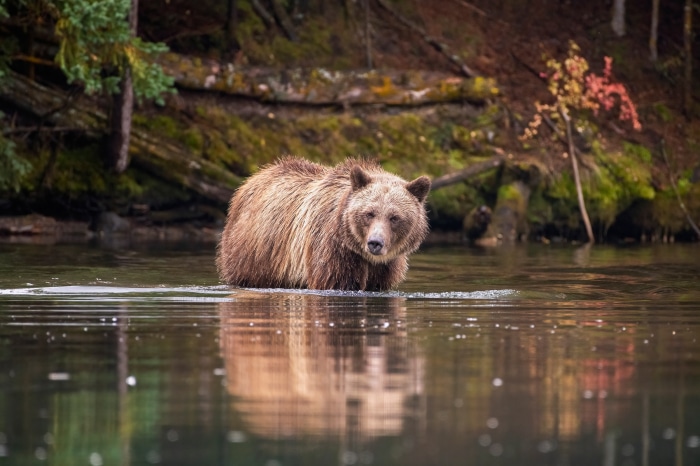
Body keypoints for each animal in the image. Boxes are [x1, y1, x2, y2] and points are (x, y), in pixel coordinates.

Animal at [216, 157, 431, 291]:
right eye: (369, 213)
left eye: (394, 217)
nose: (375, 243)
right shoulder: (332, 250)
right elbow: (335, 282)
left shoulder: (385, 267)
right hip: (254, 253)